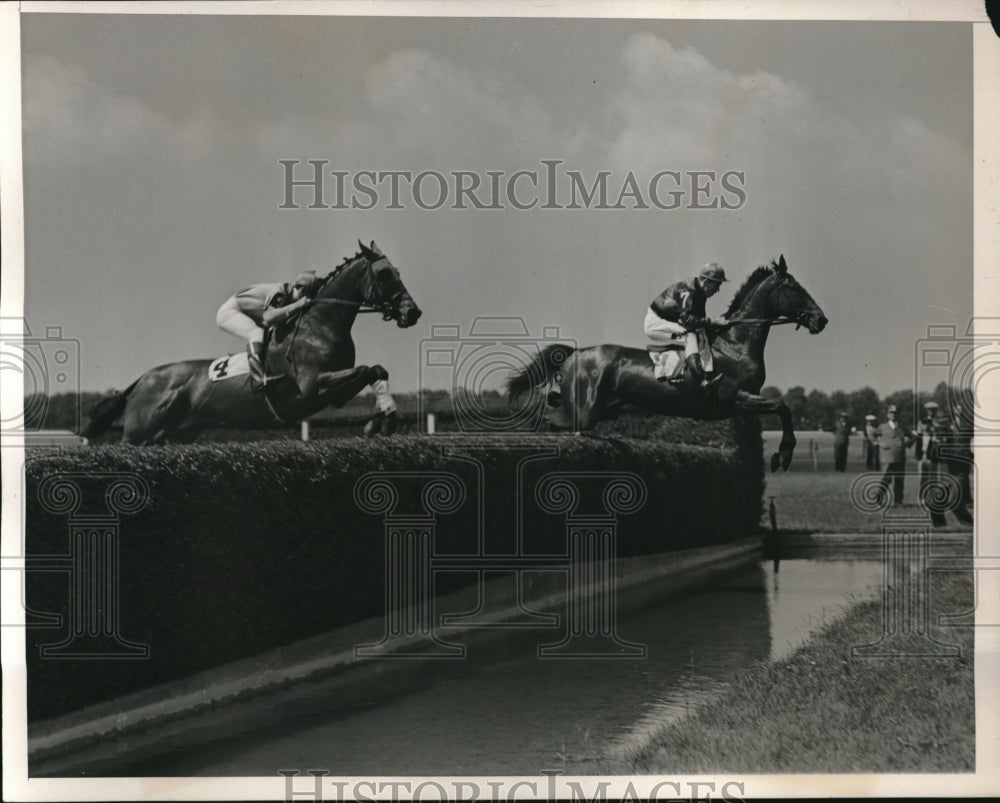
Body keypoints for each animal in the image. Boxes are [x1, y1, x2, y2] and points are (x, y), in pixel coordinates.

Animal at [81, 242, 418, 450]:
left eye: (398, 272)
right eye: (385, 275)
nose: (413, 312)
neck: (320, 324)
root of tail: (142, 380)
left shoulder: (334, 395)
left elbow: (375, 370)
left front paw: (383, 419)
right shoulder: (312, 386)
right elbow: (366, 369)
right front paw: (380, 422)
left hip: (174, 435)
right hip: (139, 434)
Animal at [508, 256, 828, 472]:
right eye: (794, 287)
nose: (820, 320)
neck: (736, 344)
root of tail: (576, 352)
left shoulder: (737, 405)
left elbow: (781, 408)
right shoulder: (735, 399)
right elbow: (782, 407)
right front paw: (783, 456)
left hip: (602, 409)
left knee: (553, 414)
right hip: (584, 410)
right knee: (552, 420)